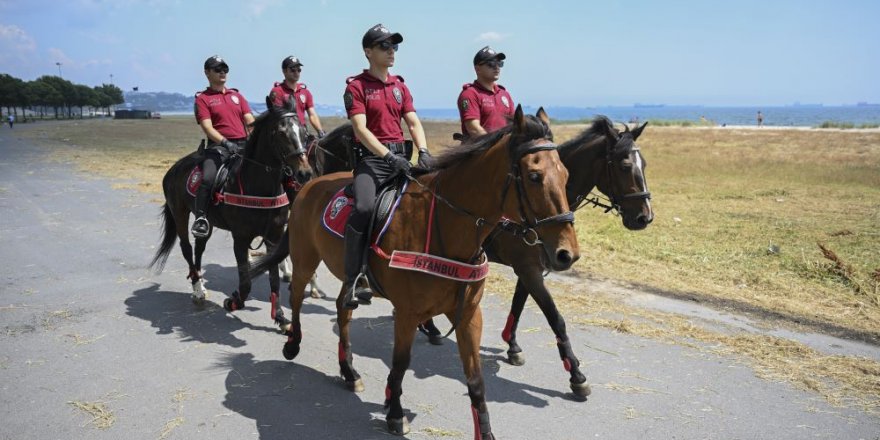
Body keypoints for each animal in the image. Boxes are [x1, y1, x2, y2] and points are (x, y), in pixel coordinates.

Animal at [150, 99, 314, 310]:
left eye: (304, 132)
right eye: (281, 132)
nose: (305, 173)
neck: (258, 185)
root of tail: (175, 168)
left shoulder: (273, 236)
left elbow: (273, 275)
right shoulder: (241, 238)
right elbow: (245, 279)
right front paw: (235, 300)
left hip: (207, 220)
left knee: (199, 247)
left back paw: (200, 283)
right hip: (179, 213)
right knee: (186, 248)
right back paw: (197, 291)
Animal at [249, 105, 576, 438]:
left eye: (565, 174)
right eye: (534, 176)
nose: (566, 254)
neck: (444, 226)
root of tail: (309, 185)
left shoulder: (469, 315)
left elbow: (476, 380)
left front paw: (485, 430)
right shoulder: (407, 313)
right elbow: (400, 363)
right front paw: (394, 412)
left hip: (347, 275)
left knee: (343, 308)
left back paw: (349, 371)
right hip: (305, 259)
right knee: (297, 296)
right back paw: (292, 342)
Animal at [420, 115, 652, 398]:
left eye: (644, 164)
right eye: (624, 165)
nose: (644, 217)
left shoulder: (532, 269)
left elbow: (518, 305)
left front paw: (512, 345)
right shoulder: (528, 268)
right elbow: (555, 318)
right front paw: (576, 373)